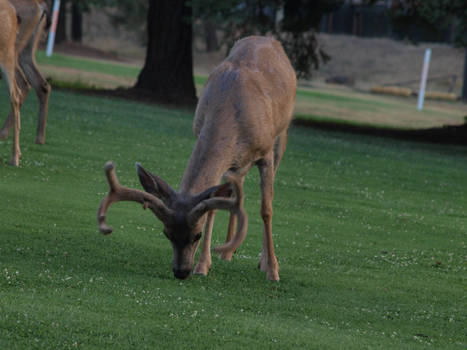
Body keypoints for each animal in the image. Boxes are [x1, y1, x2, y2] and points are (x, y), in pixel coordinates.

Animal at [97, 36, 298, 282]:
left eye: (197, 235)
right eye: (167, 234)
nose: (181, 272)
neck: (232, 110)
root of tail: (269, 39)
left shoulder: (266, 152)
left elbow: (266, 208)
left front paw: (272, 269)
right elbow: (212, 207)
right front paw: (203, 265)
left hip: (281, 136)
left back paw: (261, 260)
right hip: (238, 164)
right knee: (236, 191)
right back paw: (227, 251)